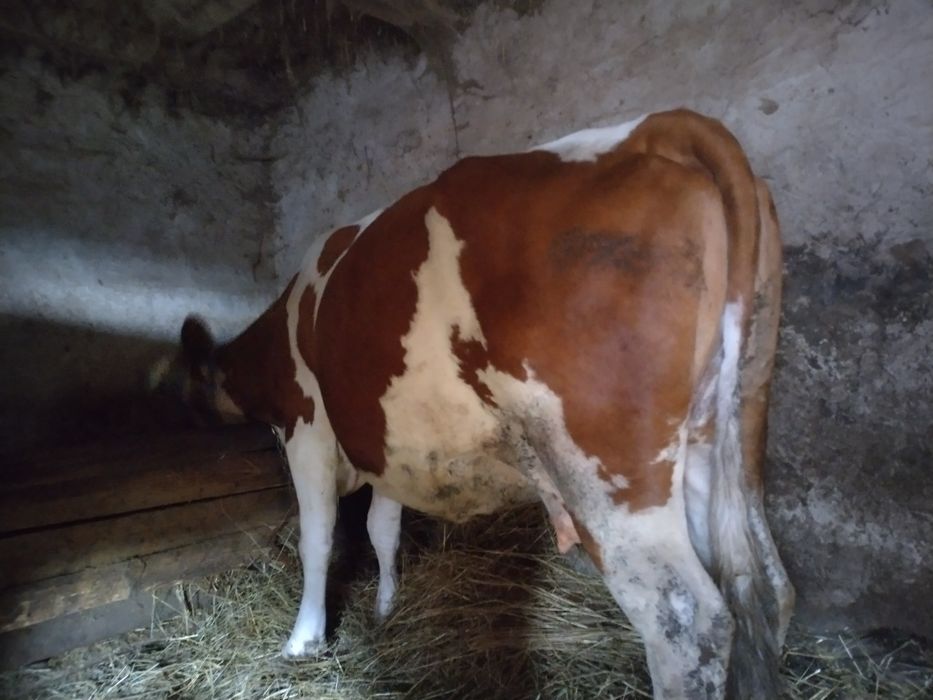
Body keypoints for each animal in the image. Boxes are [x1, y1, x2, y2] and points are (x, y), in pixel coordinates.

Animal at [152, 109, 793, 699]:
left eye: (180, 384)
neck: (286, 326)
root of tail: (657, 127)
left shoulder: (308, 429)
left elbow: (319, 536)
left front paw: (303, 640)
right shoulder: (387, 441)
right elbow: (383, 527)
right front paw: (386, 607)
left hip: (607, 463)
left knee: (686, 618)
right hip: (721, 433)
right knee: (763, 588)